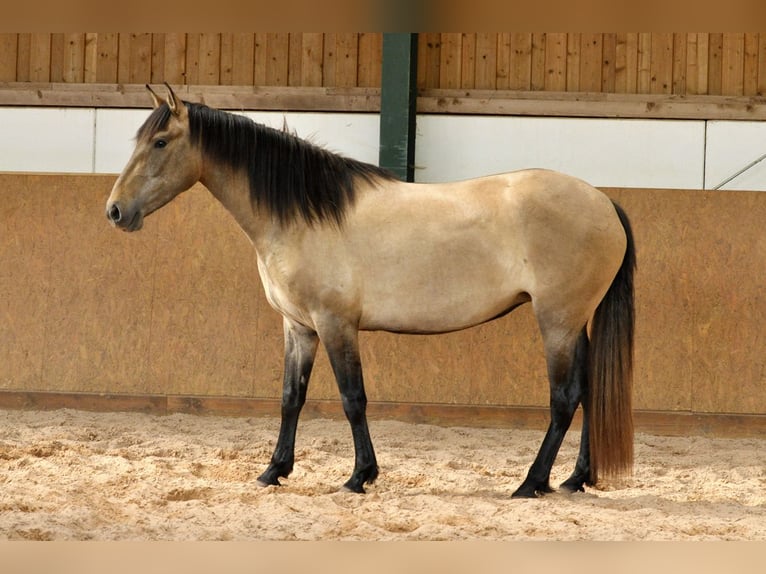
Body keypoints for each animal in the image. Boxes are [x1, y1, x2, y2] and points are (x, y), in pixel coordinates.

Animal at [106, 84, 635, 498]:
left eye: (160, 142)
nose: (115, 211)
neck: (302, 215)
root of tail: (603, 201)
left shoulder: (335, 324)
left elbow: (352, 398)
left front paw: (360, 476)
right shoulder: (298, 327)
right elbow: (290, 397)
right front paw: (274, 471)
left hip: (557, 321)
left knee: (564, 397)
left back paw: (531, 482)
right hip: (574, 323)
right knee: (588, 391)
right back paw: (575, 479)